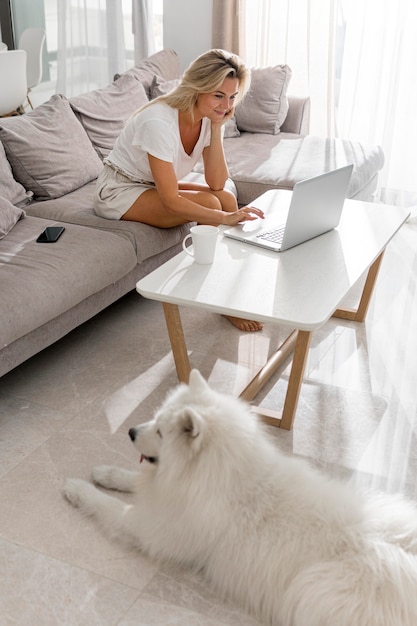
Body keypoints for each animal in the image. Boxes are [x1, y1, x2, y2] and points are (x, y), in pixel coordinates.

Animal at [63, 368, 416, 620]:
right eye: (155, 419)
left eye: (161, 432)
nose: (131, 431)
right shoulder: (164, 497)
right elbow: (132, 479)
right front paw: (105, 473)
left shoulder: (152, 529)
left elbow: (106, 505)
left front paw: (75, 488)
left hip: (314, 591)